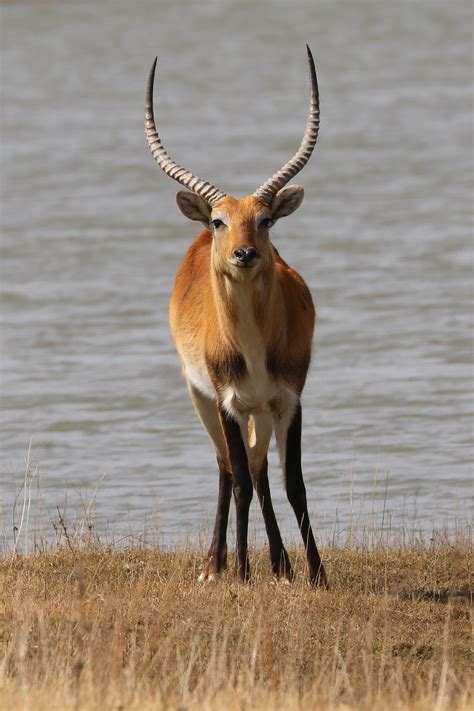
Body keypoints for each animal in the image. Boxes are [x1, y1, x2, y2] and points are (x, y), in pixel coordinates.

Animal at [145, 47, 326, 588]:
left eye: (264, 219)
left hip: (259, 410)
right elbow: (242, 481)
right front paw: (242, 572)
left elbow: (293, 483)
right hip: (201, 396)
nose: (244, 253)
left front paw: (315, 574)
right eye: (220, 219)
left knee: (259, 467)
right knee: (229, 466)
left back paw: (281, 565)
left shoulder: (288, 399)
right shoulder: (227, 401)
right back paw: (215, 565)